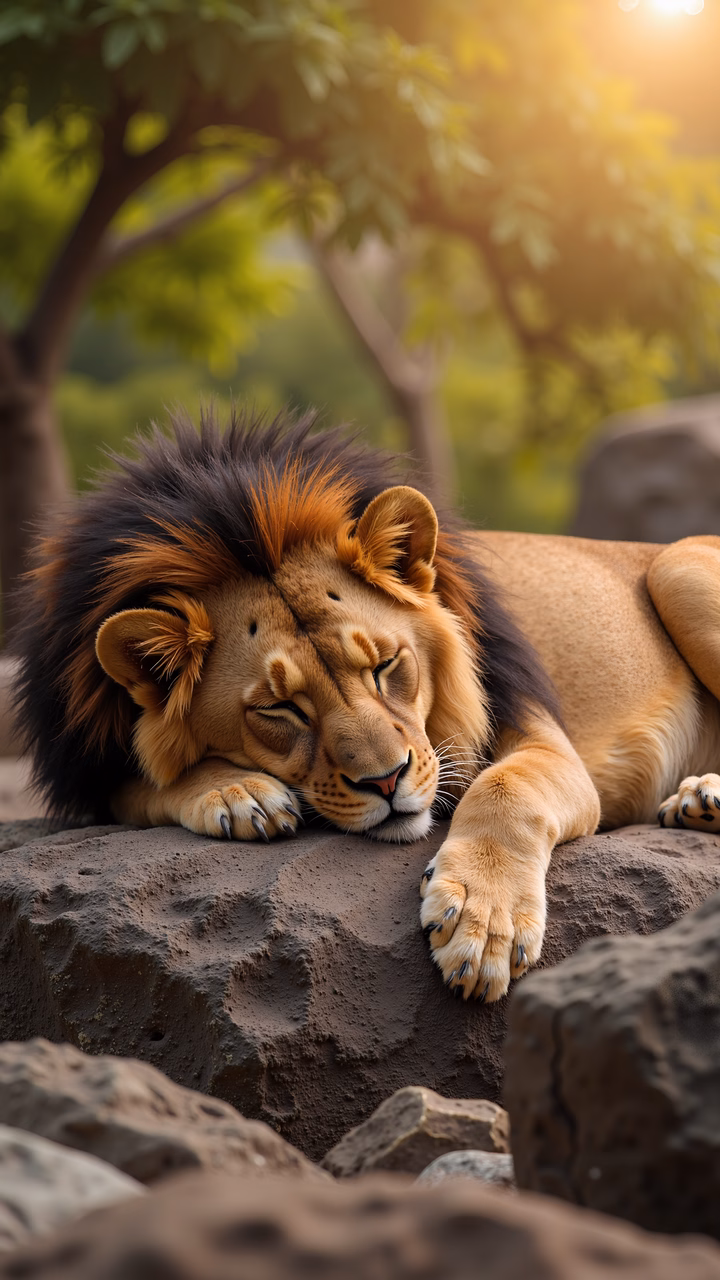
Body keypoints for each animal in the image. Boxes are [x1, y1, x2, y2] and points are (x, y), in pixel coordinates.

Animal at [13, 408, 720, 1005]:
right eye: (281, 709)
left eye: (384, 666)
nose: (386, 781)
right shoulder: (92, 769)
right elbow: (149, 785)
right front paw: (236, 792)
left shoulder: (541, 736)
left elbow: (505, 791)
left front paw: (480, 922)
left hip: (678, 564)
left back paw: (703, 793)